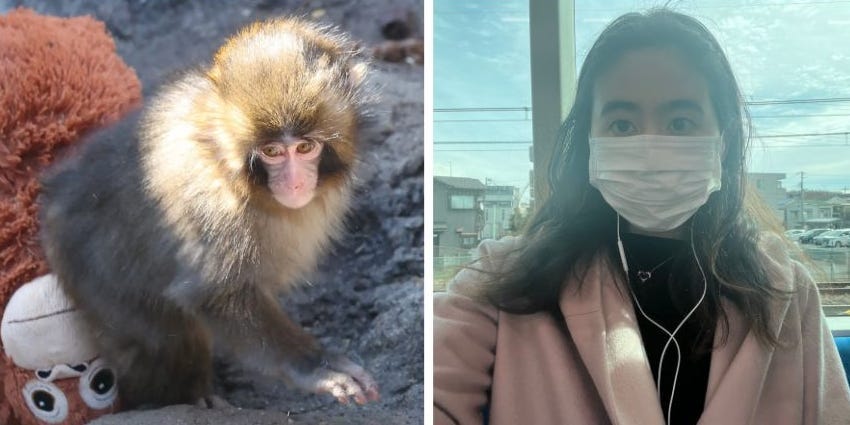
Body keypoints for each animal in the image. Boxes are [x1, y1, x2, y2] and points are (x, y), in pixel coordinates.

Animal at [38, 18, 380, 409]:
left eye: (305, 147)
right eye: (272, 152)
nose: (294, 183)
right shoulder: (217, 212)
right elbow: (214, 295)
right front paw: (315, 366)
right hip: (92, 274)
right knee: (161, 338)